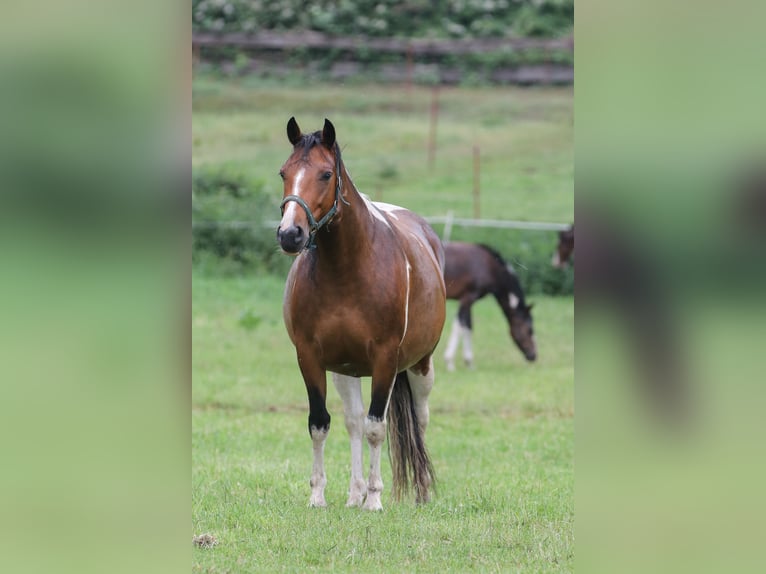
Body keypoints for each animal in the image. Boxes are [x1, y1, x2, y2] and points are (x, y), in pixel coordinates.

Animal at [277, 117, 446, 510]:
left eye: (325, 174)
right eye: (284, 173)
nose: (290, 234)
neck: (347, 269)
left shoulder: (385, 359)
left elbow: (376, 427)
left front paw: (375, 499)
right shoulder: (310, 357)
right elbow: (320, 423)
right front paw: (319, 495)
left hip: (420, 365)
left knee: (419, 420)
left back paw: (420, 493)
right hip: (347, 369)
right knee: (353, 421)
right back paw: (354, 494)